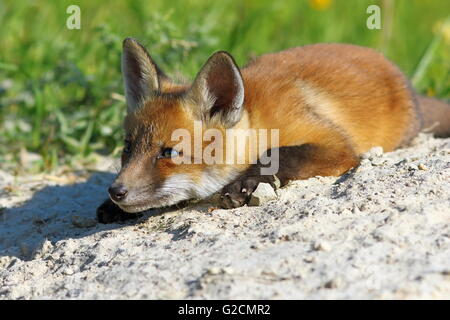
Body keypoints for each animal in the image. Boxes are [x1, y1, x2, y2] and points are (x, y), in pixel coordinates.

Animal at [96, 38, 448, 222]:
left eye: (168, 152)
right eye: (127, 148)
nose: (116, 191)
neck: (260, 121)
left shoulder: (337, 147)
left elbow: (277, 156)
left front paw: (242, 186)